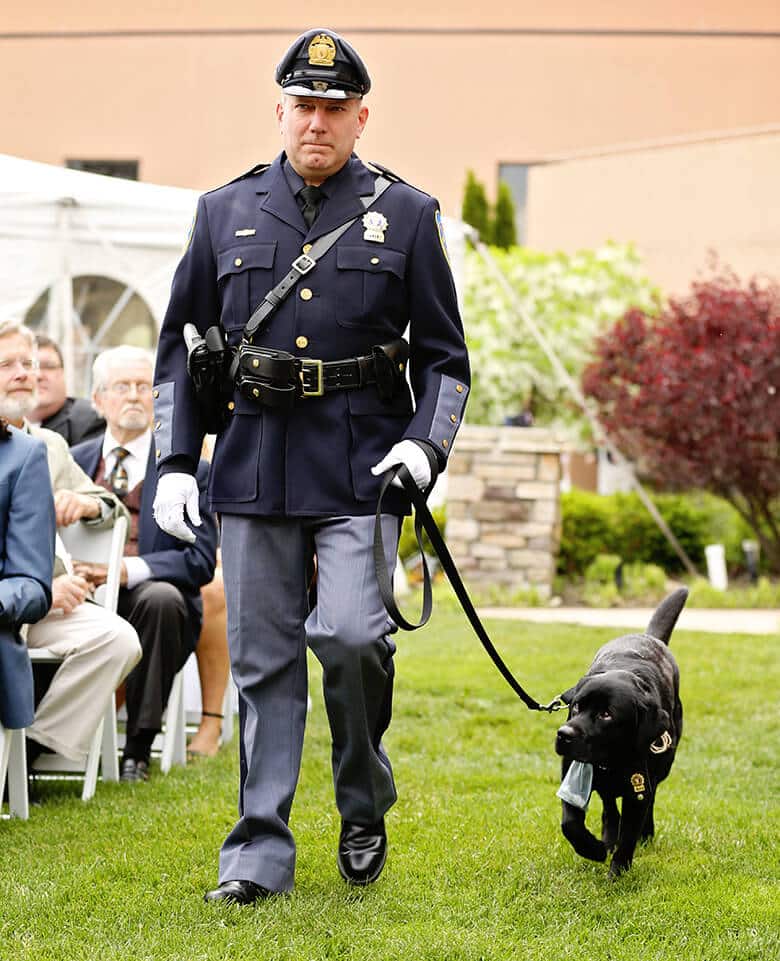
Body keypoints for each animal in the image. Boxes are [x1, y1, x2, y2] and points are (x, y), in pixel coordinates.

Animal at [556, 584, 684, 876]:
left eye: (607, 714)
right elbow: (570, 823)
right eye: (576, 706)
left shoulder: (638, 787)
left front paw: (618, 871)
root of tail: (649, 637)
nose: (563, 735)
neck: (609, 761)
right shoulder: (571, 775)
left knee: (648, 801)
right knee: (609, 806)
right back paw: (607, 836)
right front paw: (593, 849)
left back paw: (645, 834)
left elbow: (629, 832)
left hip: (663, 765)